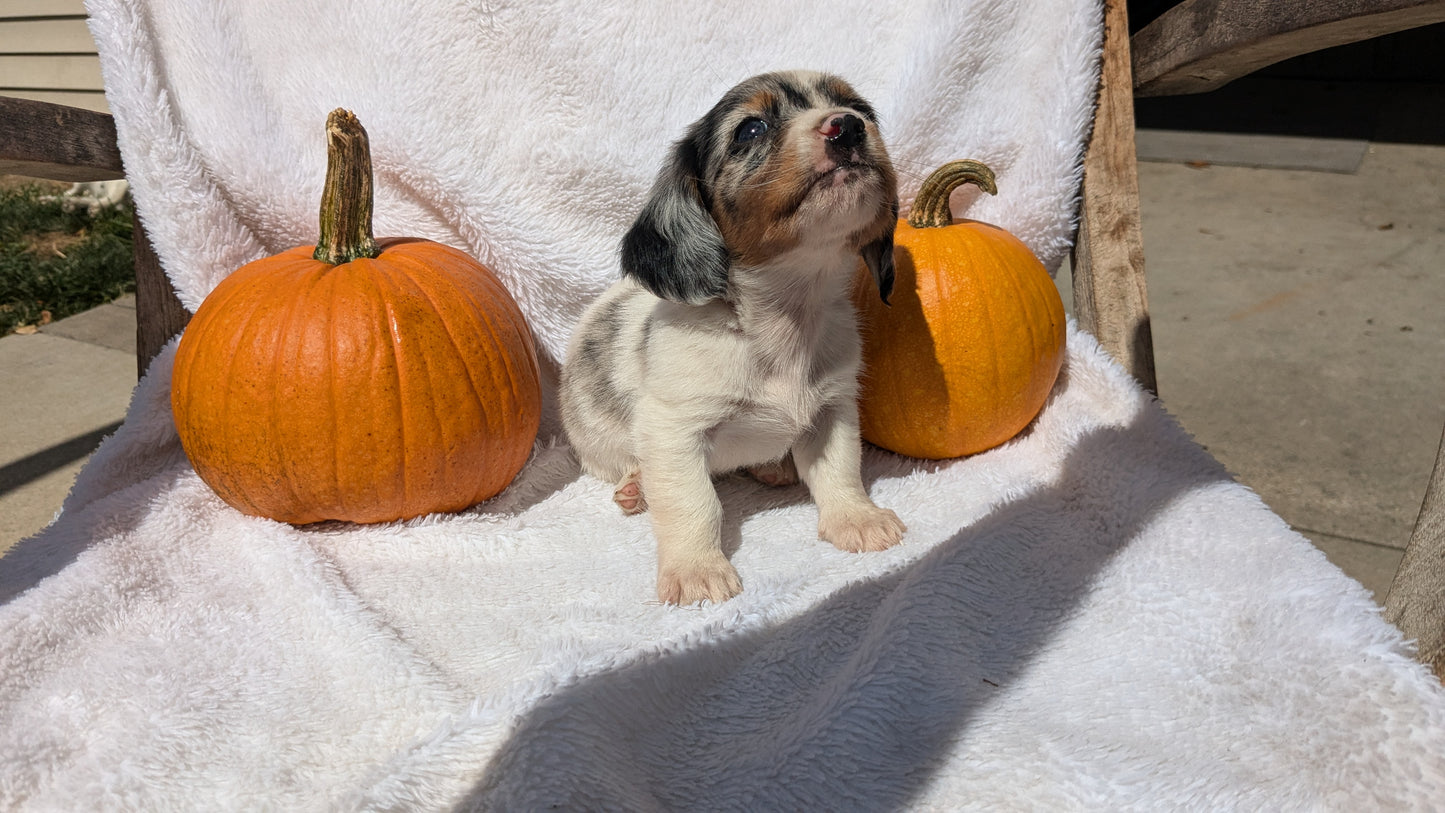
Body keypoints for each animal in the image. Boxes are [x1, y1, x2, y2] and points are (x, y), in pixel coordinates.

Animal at [560, 71, 901, 603]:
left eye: (860, 108)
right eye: (751, 130)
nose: (846, 126)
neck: (783, 319)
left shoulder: (833, 409)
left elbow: (841, 469)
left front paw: (857, 519)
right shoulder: (675, 431)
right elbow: (694, 503)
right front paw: (696, 568)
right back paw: (636, 487)